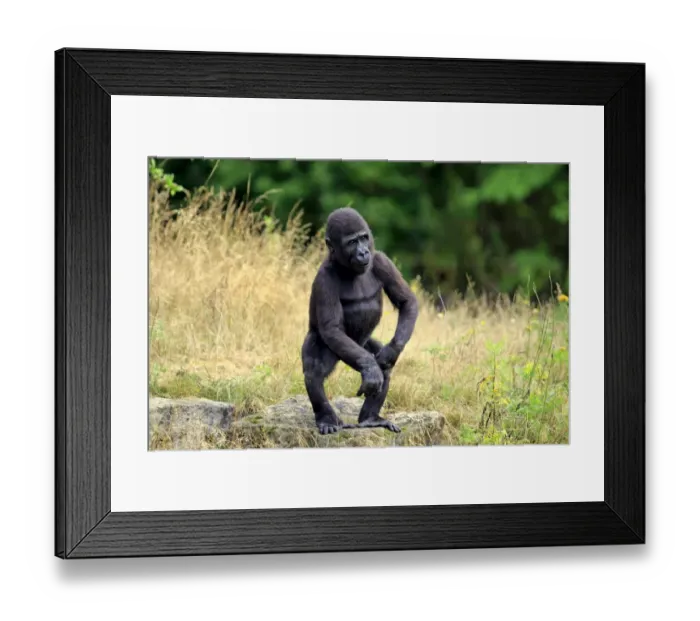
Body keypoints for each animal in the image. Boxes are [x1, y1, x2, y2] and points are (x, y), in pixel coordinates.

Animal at [301, 207, 419, 435]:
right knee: (314, 370)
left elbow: (407, 302)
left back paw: (370, 418)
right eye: (352, 242)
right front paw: (371, 370)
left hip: (362, 345)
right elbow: (332, 328)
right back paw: (327, 419)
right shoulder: (324, 278)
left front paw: (391, 352)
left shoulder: (381, 260)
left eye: (364, 238)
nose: (363, 252)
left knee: (383, 367)